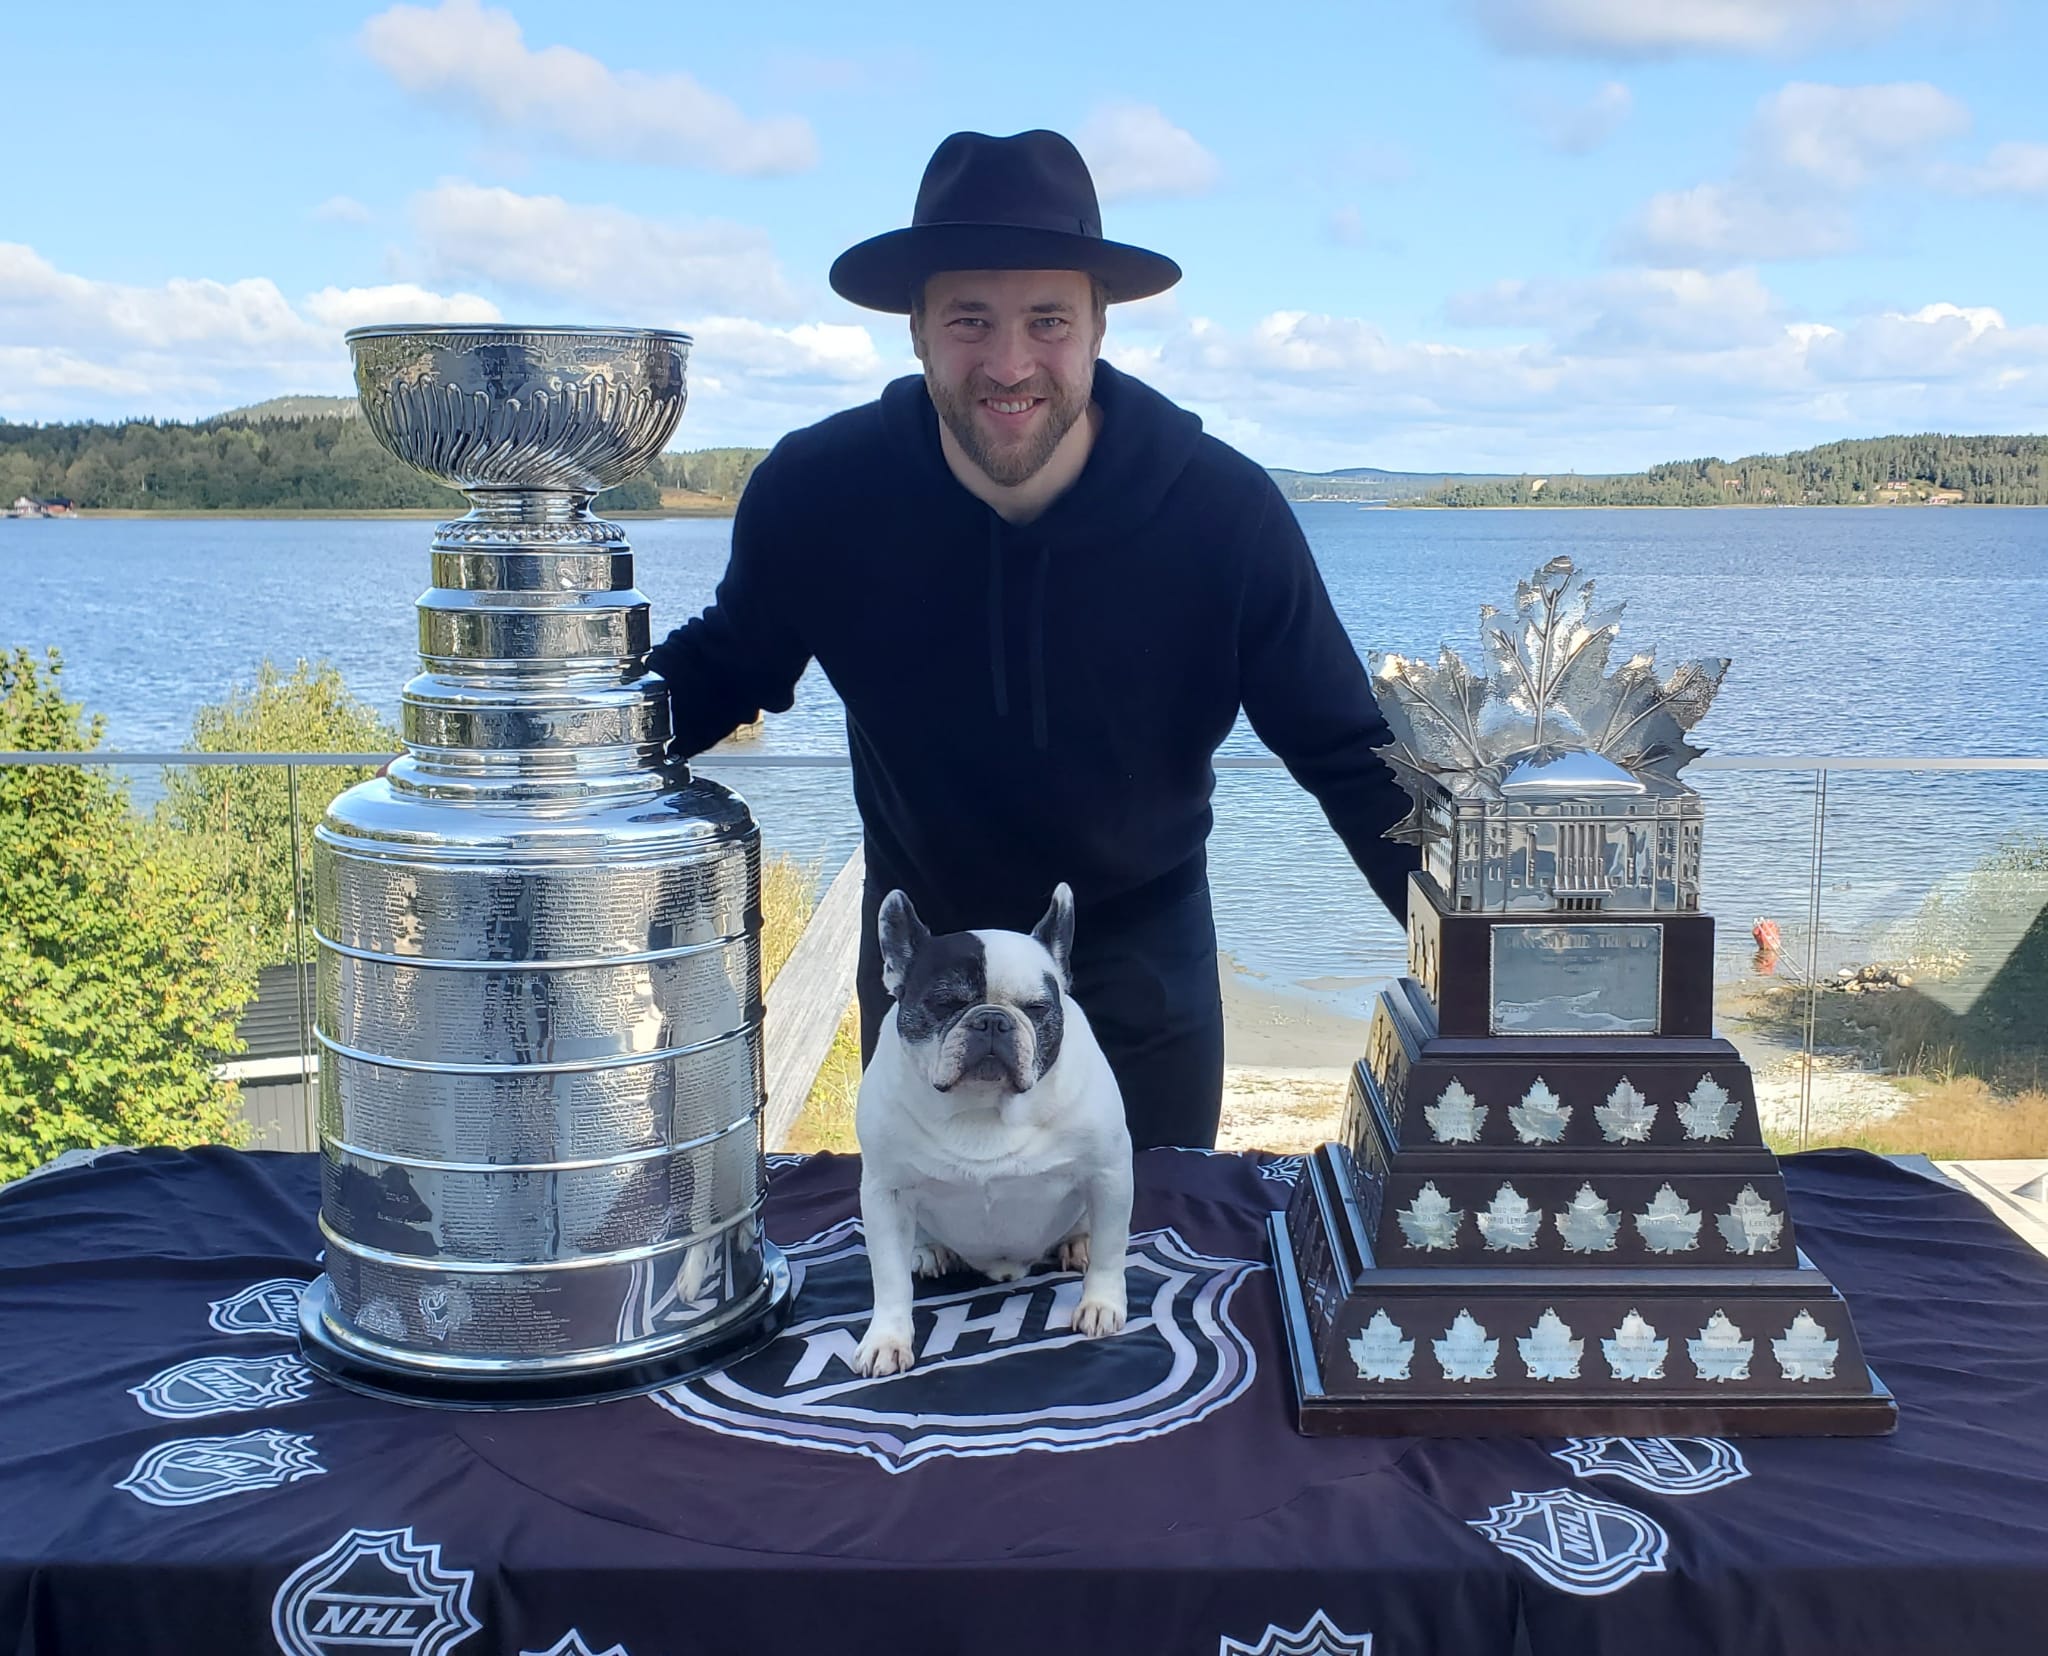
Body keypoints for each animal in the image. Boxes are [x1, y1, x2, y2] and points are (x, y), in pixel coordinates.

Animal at [851, 884, 1138, 1375]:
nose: (991, 1019)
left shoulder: (1110, 1173)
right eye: (944, 1003)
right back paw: (929, 1251)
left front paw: (1100, 1304)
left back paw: (1076, 1243)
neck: (985, 1107)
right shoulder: (884, 1192)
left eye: (1037, 1008)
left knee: (1089, 1230)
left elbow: (1110, 1249)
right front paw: (887, 1338)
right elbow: (888, 1277)